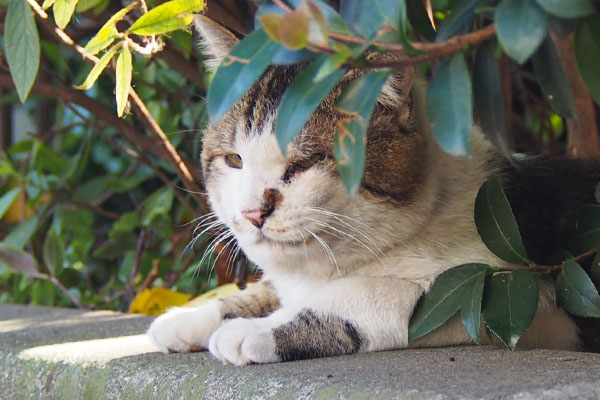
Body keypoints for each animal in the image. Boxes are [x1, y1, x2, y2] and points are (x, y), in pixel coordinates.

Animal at [148, 14, 600, 366]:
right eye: (234, 160)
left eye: (306, 163)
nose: (252, 212)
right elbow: (270, 289)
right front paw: (188, 319)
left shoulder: (509, 292)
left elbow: (366, 293)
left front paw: (251, 331)